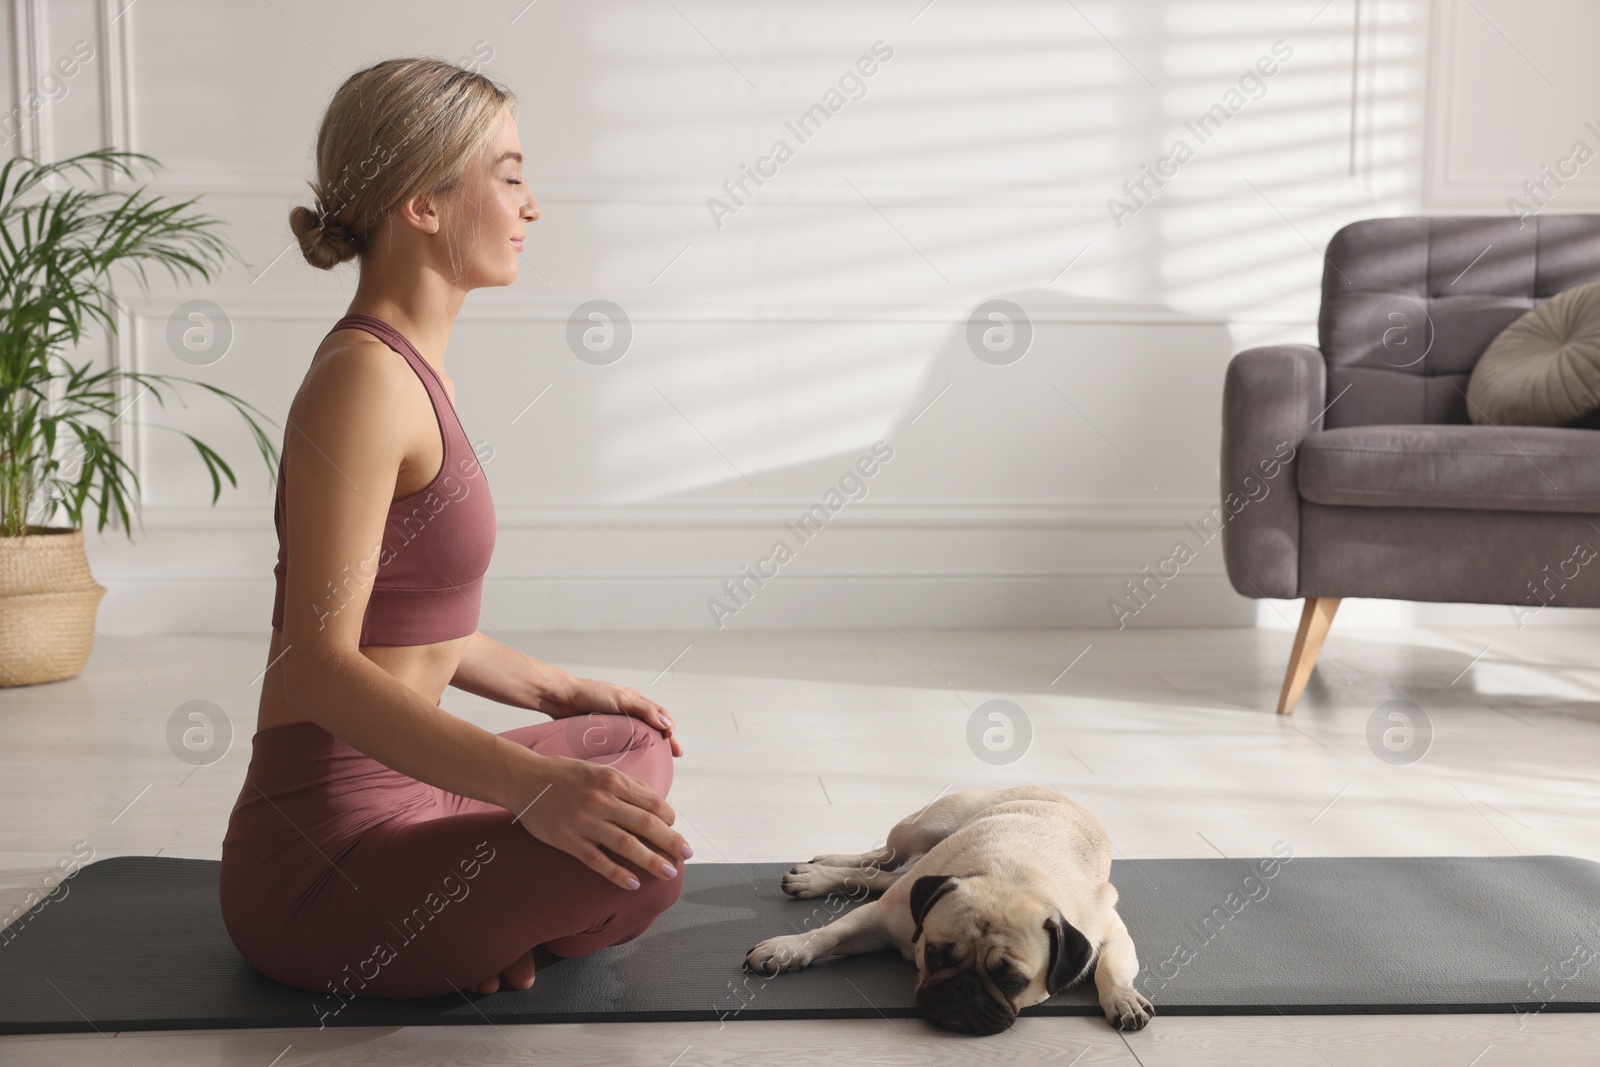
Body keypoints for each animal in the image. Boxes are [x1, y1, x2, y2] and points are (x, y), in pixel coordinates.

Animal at [736, 783, 1152, 1036]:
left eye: (1013, 982)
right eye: (934, 956)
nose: (965, 986)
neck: (1010, 878)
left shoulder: (1108, 929)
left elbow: (1112, 966)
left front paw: (1122, 997)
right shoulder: (878, 919)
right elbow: (828, 934)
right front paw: (788, 949)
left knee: (877, 876)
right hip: (919, 830)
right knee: (878, 860)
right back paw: (819, 871)